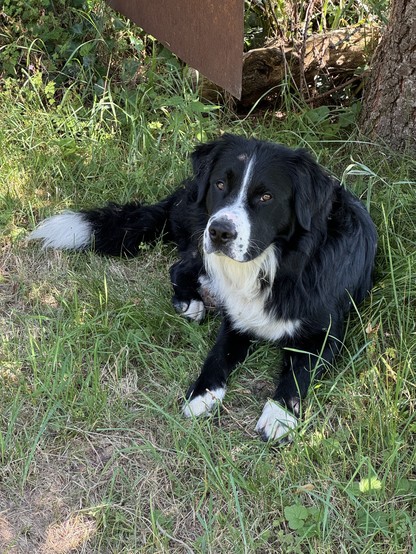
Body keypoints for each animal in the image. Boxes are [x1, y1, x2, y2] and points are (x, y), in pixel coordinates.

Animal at [29, 134, 376, 440]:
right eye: (221, 184)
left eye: (266, 197)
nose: (221, 232)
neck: (274, 266)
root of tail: (185, 189)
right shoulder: (237, 320)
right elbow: (218, 355)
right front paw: (202, 393)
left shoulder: (325, 335)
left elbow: (298, 374)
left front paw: (279, 416)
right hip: (198, 235)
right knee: (180, 266)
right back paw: (191, 301)